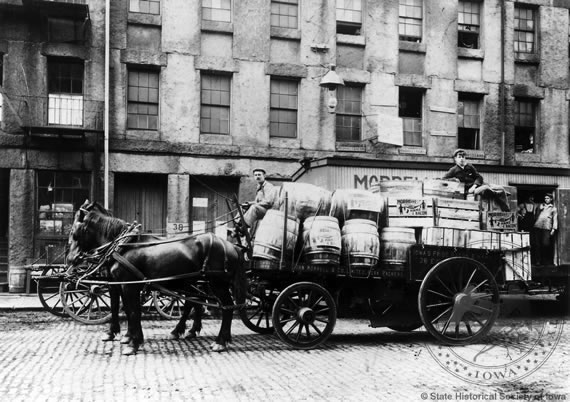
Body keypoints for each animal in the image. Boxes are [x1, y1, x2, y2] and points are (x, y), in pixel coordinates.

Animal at [66, 201, 244, 354]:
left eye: (74, 233)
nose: (70, 259)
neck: (121, 246)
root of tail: (231, 245)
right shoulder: (118, 284)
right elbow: (121, 308)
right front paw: (124, 336)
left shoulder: (128, 285)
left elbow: (133, 312)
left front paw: (133, 343)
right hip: (195, 283)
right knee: (194, 303)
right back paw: (187, 331)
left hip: (217, 284)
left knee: (227, 307)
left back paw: (220, 341)